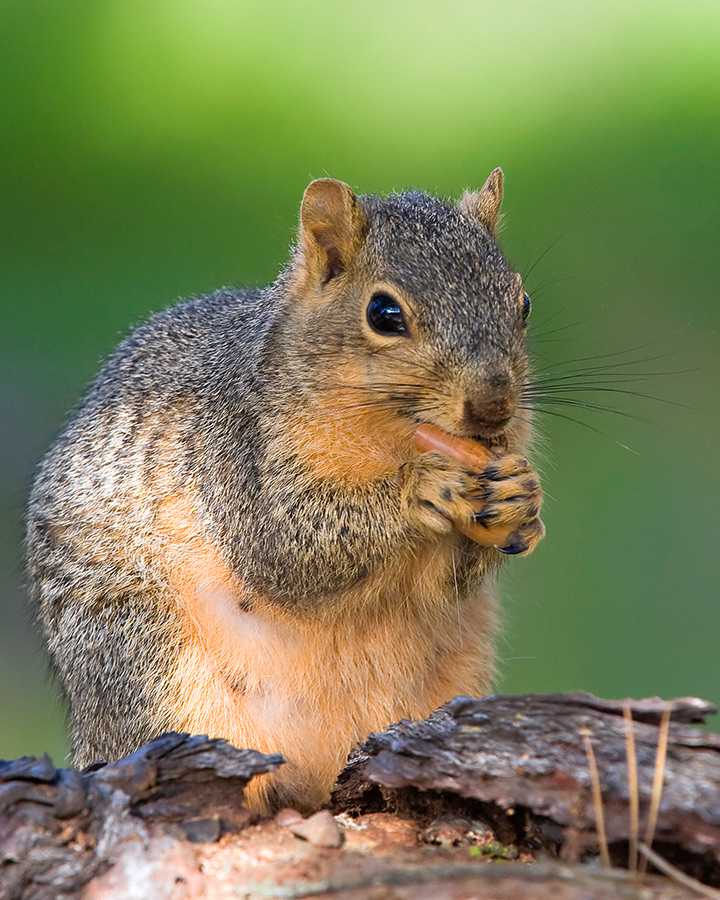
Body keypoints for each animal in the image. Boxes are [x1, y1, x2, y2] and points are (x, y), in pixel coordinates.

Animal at [26, 167, 544, 808]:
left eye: (522, 303)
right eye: (384, 313)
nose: (493, 407)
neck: (395, 435)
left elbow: (453, 578)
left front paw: (523, 497)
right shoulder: (236, 456)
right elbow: (284, 546)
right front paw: (422, 488)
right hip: (153, 665)